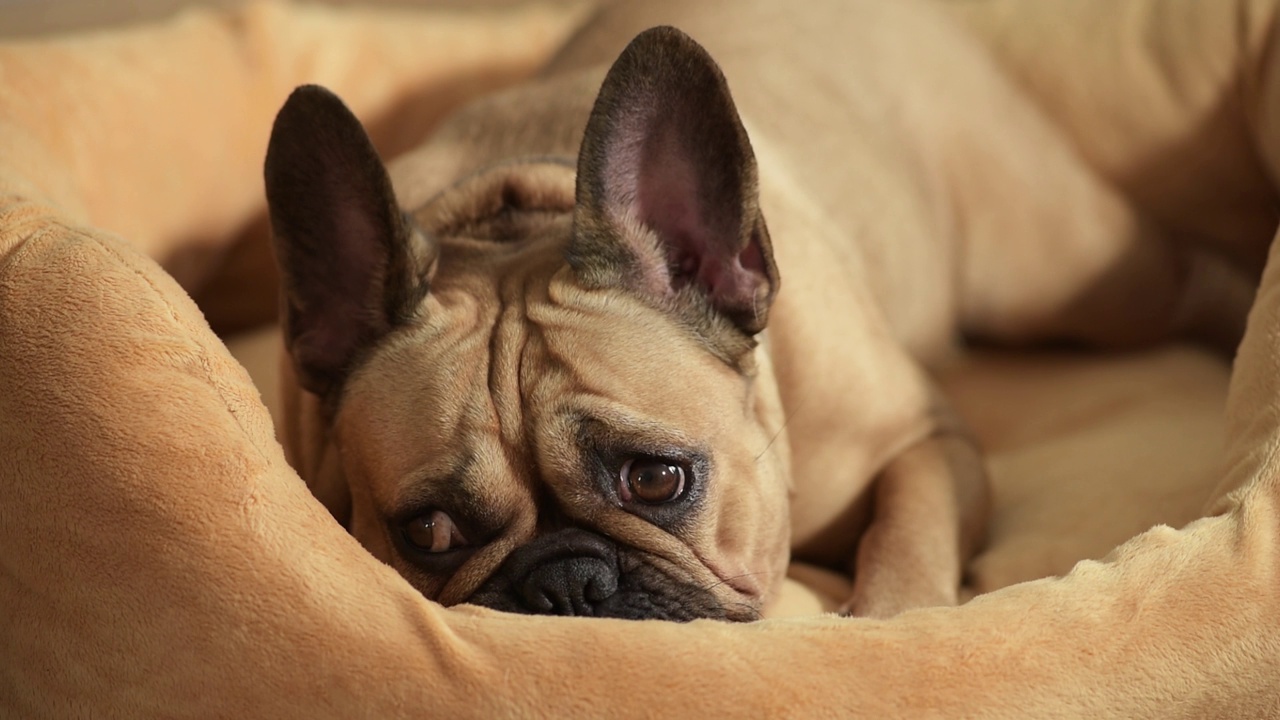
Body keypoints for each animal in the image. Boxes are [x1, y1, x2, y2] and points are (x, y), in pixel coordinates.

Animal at [262, 0, 1249, 617]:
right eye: (427, 532)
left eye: (657, 480)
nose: (564, 583)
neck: (515, 209)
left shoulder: (924, 441)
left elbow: (908, 530)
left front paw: (893, 616)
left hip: (1066, 275)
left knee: (1189, 273)